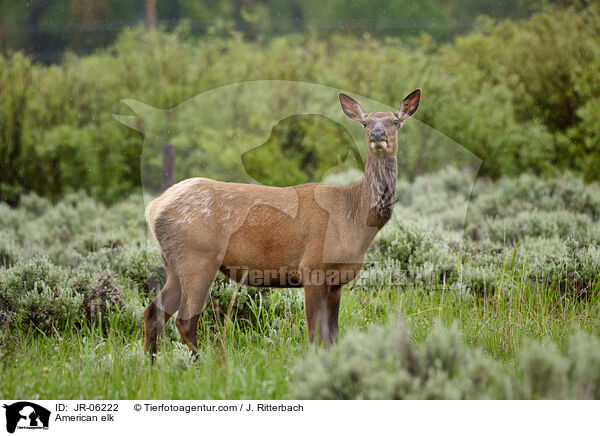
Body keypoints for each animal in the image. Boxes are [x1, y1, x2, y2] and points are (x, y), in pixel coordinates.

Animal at [143, 88, 420, 354]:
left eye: (395, 121)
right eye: (365, 122)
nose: (377, 134)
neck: (354, 218)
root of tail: (154, 207)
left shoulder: (337, 280)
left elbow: (332, 335)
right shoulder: (312, 267)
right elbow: (314, 334)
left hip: (175, 263)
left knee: (153, 312)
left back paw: (151, 362)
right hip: (198, 257)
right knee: (185, 321)